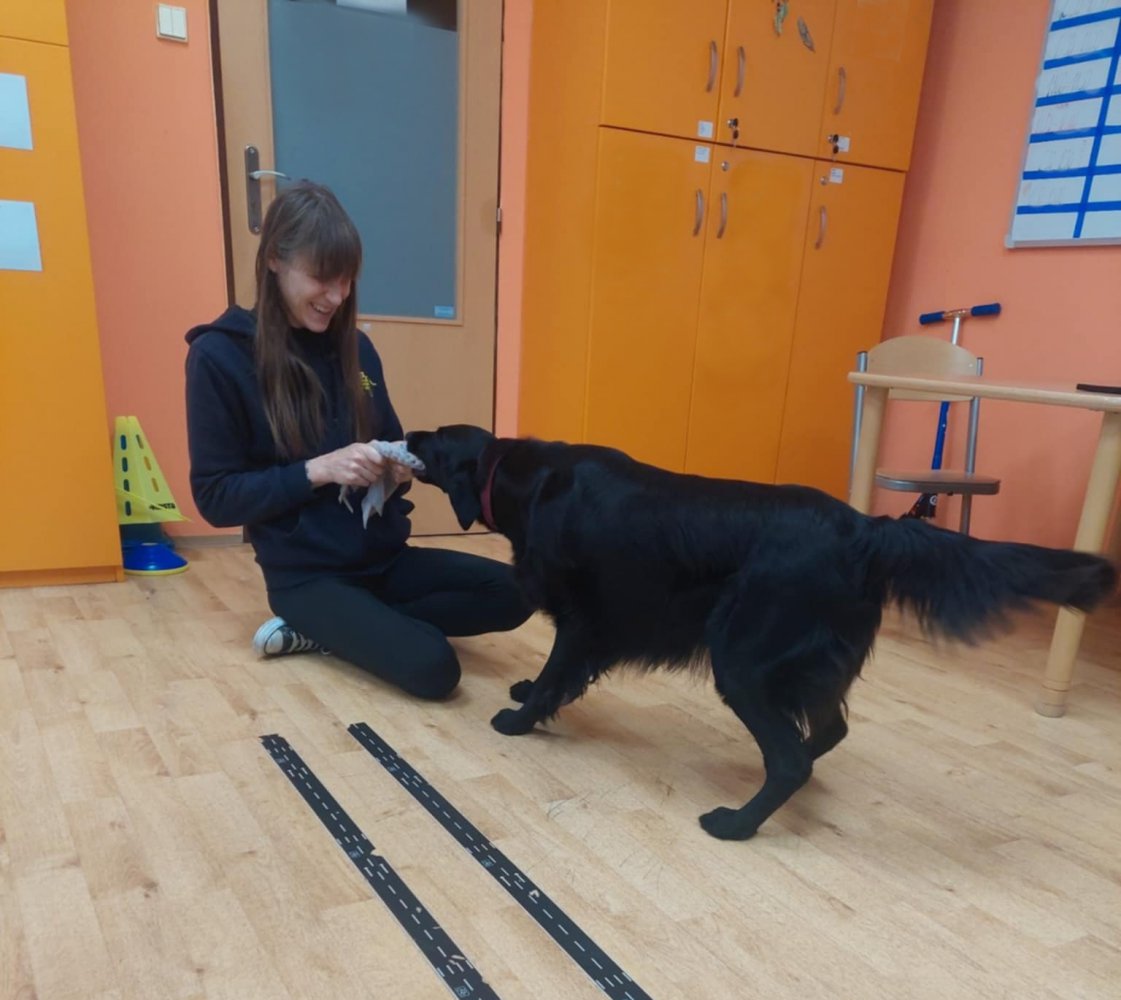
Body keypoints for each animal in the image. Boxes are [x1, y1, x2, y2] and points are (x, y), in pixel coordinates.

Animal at [405, 424, 1117, 841]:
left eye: (434, 440)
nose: (406, 427)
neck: (527, 479)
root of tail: (867, 531)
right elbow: (555, 677)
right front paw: (527, 695)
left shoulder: (584, 621)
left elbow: (558, 672)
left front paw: (518, 718)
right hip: (801, 663)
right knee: (824, 733)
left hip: (743, 661)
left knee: (792, 755)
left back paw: (737, 822)